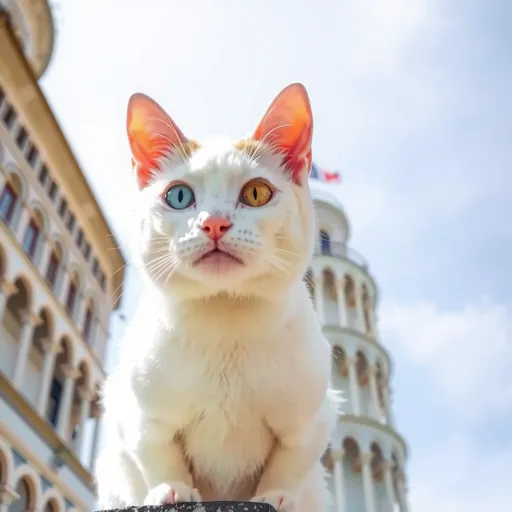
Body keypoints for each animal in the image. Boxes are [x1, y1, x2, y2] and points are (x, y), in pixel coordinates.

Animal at [94, 82, 338, 510]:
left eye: (256, 193)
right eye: (178, 197)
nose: (214, 224)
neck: (225, 321)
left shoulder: (312, 421)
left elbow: (289, 464)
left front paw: (277, 496)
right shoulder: (138, 413)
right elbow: (157, 455)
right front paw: (170, 489)